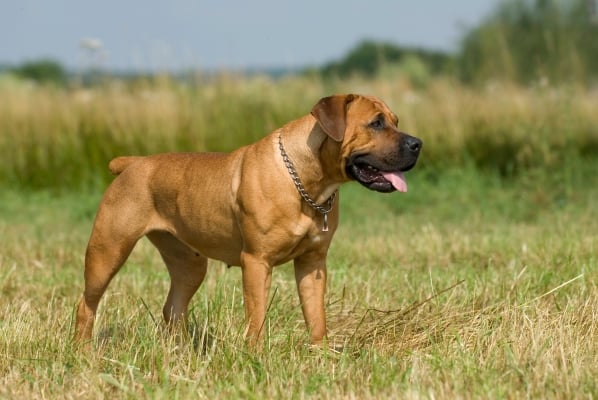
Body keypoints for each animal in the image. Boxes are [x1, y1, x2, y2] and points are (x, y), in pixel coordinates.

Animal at [74, 94, 422, 346]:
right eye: (376, 123)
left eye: (395, 121)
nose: (418, 143)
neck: (307, 180)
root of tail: (132, 163)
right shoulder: (256, 261)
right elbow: (256, 316)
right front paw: (254, 354)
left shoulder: (313, 263)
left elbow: (316, 314)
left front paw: (321, 351)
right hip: (108, 250)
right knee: (86, 303)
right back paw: (82, 350)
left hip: (189, 263)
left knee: (173, 307)